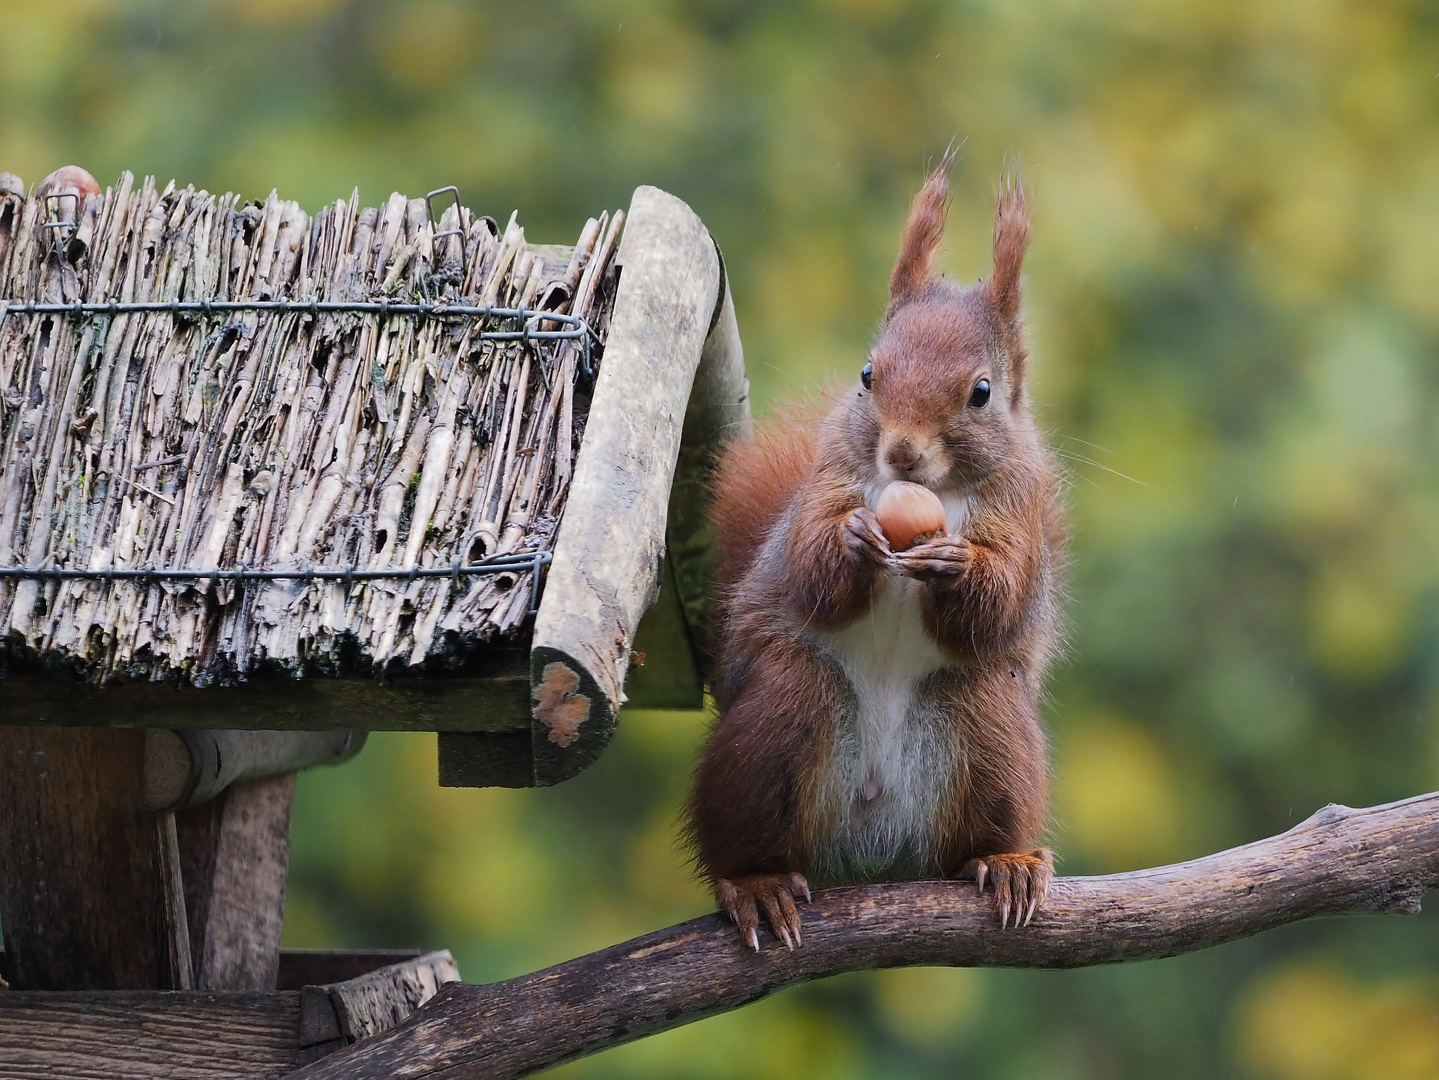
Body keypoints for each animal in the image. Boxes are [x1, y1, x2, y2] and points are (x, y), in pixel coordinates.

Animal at [684, 156, 1070, 949]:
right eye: (868, 375)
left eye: (981, 392)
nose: (900, 452)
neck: (933, 491)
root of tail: (872, 845)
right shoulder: (826, 481)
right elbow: (809, 564)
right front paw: (853, 541)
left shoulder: (1019, 511)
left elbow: (1002, 596)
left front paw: (956, 565)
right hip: (778, 716)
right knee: (746, 831)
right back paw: (757, 885)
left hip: (986, 728)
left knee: (972, 834)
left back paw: (1007, 863)